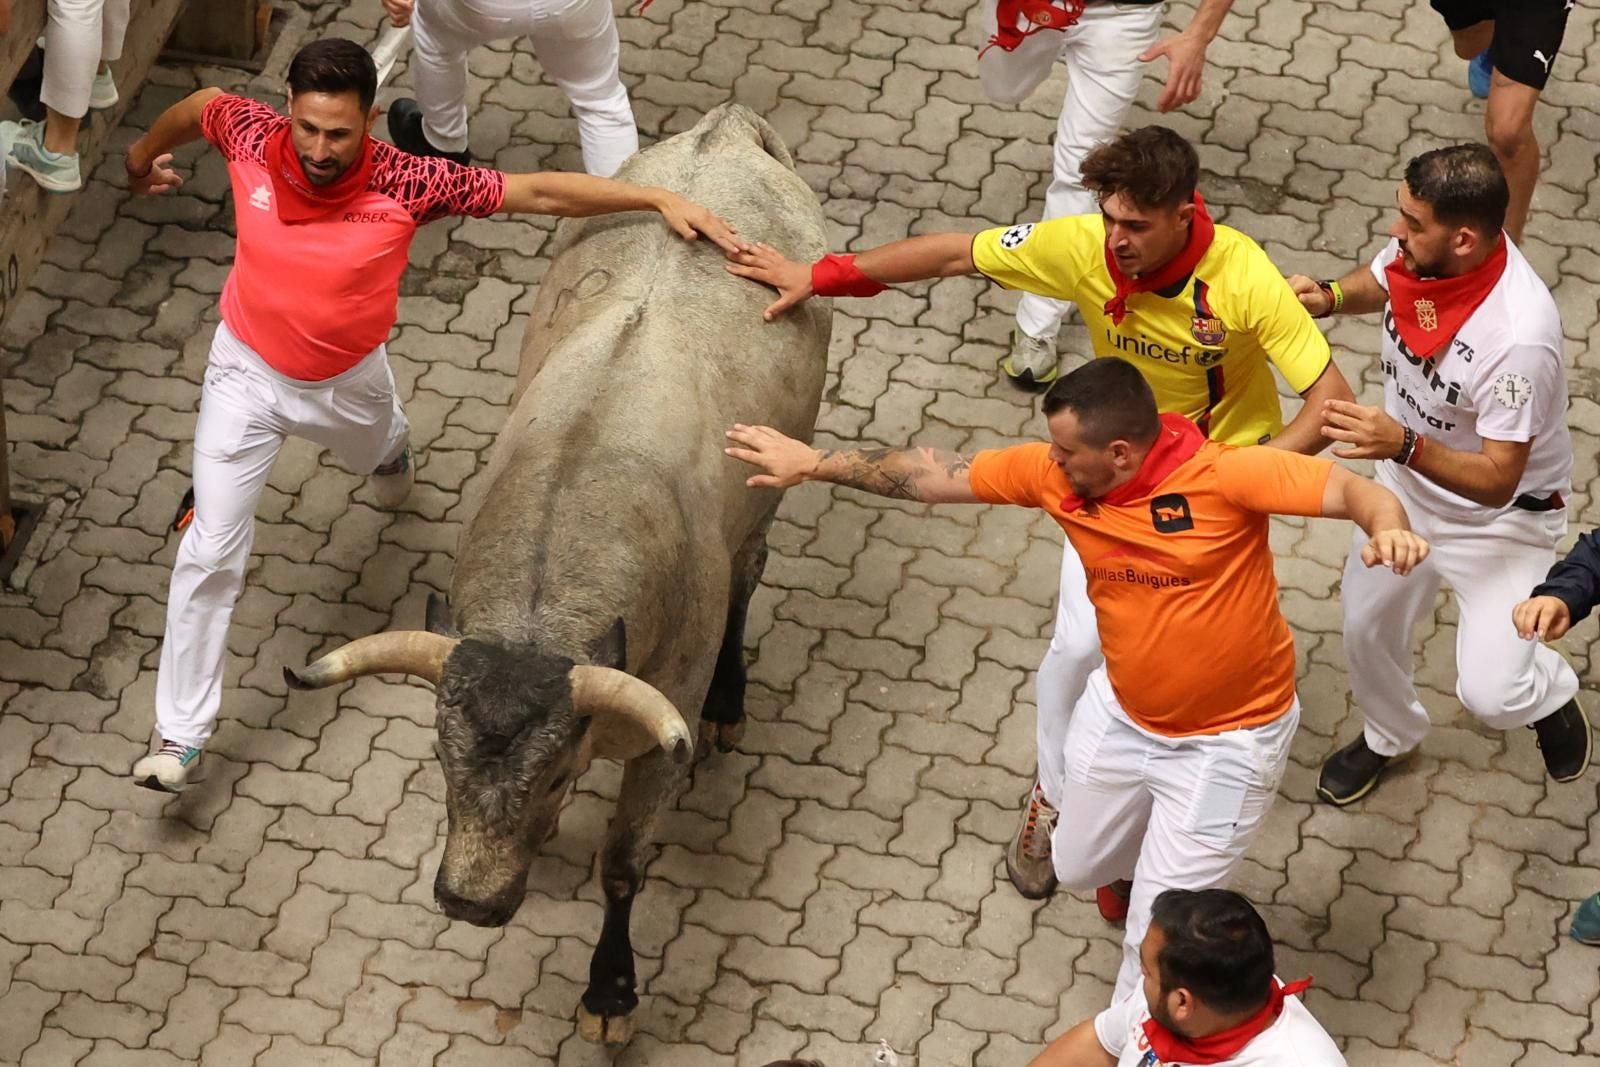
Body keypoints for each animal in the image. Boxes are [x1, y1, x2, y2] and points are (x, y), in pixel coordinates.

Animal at [286, 106, 832, 1043]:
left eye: (550, 774)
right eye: (439, 758)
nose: (467, 901)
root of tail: (726, 131)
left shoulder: (659, 746)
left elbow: (622, 864)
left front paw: (610, 991)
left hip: (768, 495)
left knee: (752, 572)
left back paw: (732, 701)